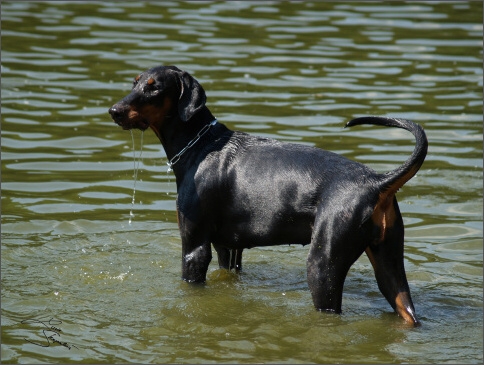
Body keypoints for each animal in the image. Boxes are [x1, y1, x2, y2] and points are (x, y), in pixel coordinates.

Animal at [108, 64, 428, 324]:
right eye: (134, 82)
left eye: (154, 87)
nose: (114, 110)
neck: (199, 145)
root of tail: (377, 181)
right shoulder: (227, 248)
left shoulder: (195, 248)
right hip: (389, 266)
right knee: (408, 313)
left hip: (323, 266)